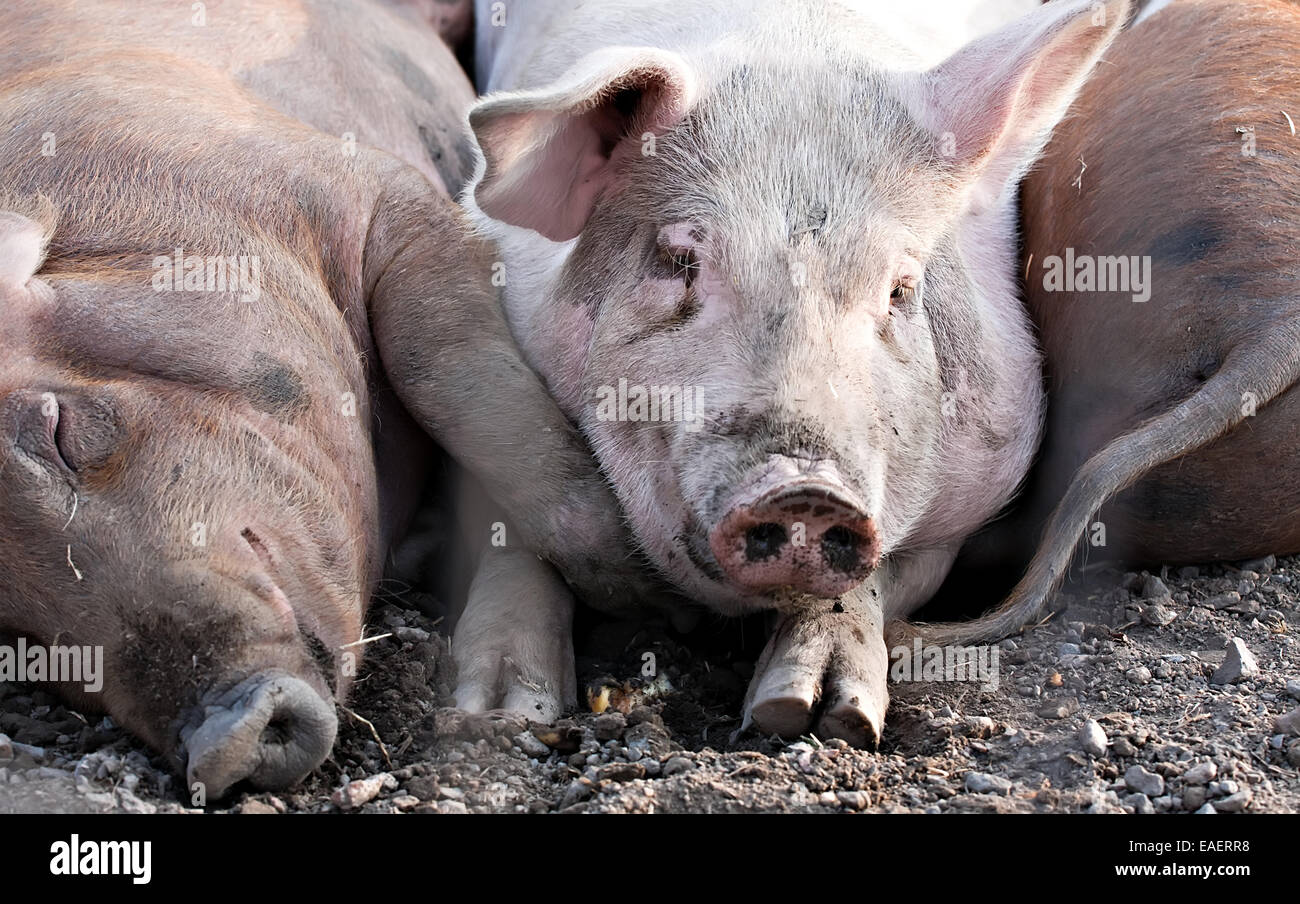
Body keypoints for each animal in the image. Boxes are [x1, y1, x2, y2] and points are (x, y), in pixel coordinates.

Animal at [0, 0, 650, 801]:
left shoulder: (374, 193)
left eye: (59, 430)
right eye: (11, 625)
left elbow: (456, 379)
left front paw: (641, 595)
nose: (219, 739)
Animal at [449, 0, 1128, 744]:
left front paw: (818, 715)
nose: (804, 490)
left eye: (900, 289)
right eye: (678, 261)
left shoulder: (965, 506)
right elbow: (518, 525)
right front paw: (498, 714)